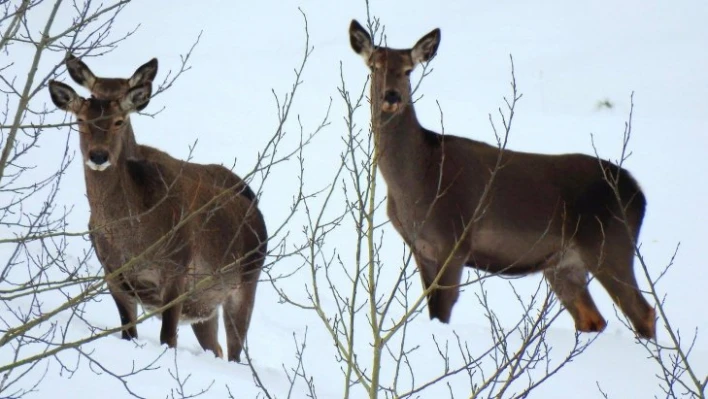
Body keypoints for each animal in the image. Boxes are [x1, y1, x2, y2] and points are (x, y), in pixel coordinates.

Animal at [47, 72, 268, 362]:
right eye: (80, 120)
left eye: (119, 120)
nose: (99, 155)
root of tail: (256, 212)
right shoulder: (112, 274)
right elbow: (128, 332)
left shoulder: (176, 269)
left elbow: (168, 338)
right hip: (204, 304)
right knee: (216, 348)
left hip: (246, 282)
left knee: (235, 352)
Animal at [352, 20, 656, 340]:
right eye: (374, 66)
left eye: (409, 70)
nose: (392, 96)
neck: (416, 182)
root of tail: (639, 193)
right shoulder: (420, 248)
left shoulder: (454, 240)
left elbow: (443, 312)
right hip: (565, 263)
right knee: (593, 319)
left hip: (609, 245)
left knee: (643, 312)